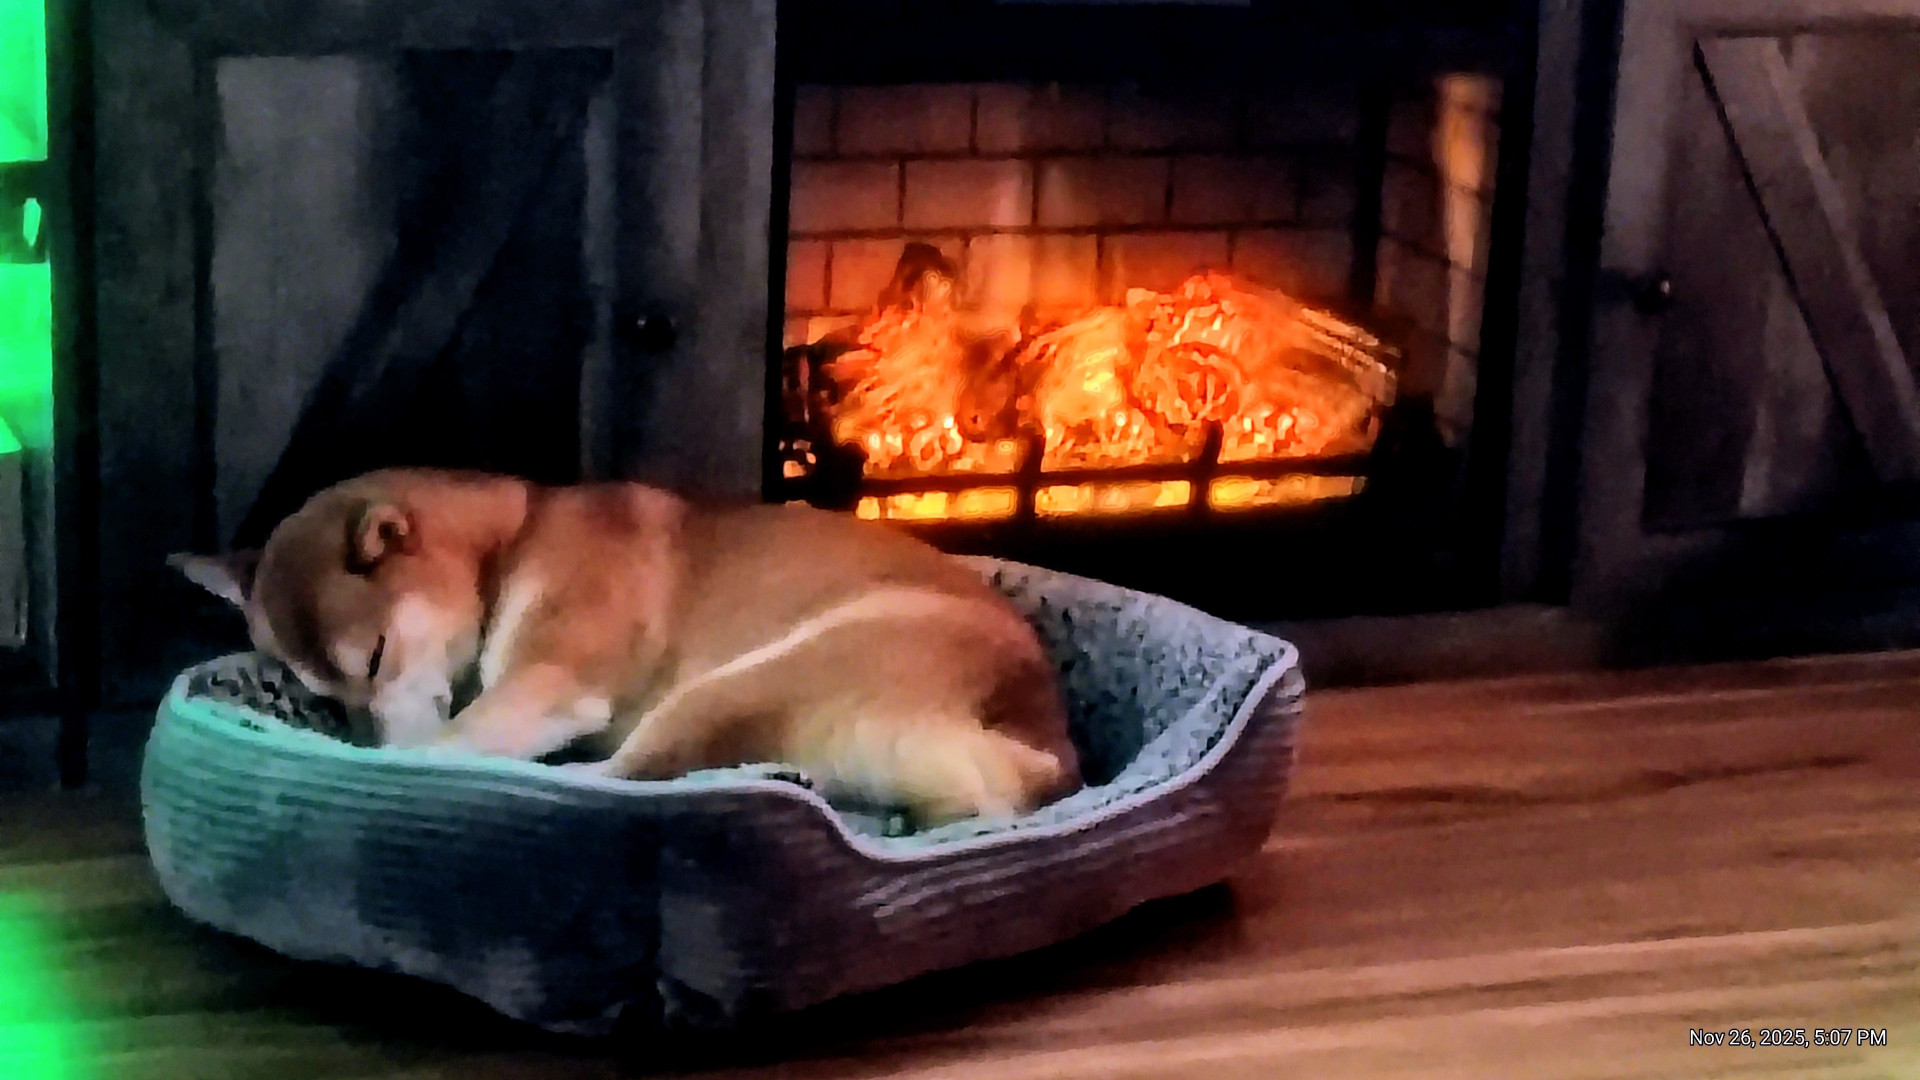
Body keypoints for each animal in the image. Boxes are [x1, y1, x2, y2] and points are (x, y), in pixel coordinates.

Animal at [171, 469, 1081, 824]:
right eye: (322, 693)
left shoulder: (551, 682)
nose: (356, 740)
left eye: (375, 657)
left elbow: (445, 743)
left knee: (616, 781)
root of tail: (1046, 748)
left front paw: (382, 769)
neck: (512, 543)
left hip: (737, 681)